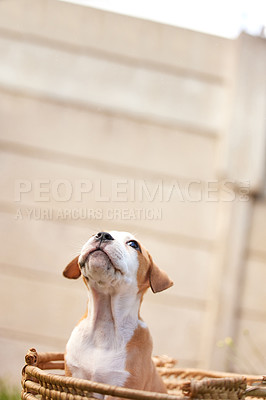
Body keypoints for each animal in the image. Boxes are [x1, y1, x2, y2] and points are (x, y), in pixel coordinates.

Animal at [63, 231, 174, 394]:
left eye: (134, 244)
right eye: (93, 234)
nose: (103, 235)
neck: (105, 322)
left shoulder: (123, 385)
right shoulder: (73, 376)